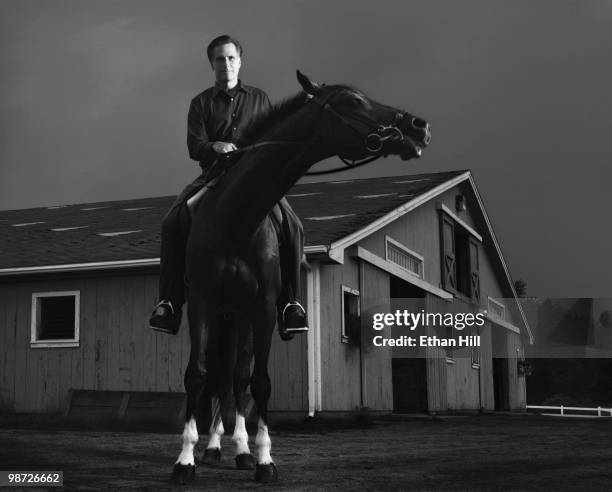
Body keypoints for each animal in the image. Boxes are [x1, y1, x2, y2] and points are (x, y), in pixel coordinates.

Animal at [171, 71, 430, 482]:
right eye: (352, 102)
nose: (418, 127)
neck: (236, 216)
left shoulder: (261, 309)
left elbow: (259, 382)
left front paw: (263, 459)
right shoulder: (201, 303)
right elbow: (196, 375)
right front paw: (184, 460)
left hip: (240, 317)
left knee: (235, 378)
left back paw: (238, 450)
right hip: (225, 315)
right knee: (220, 378)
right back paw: (212, 449)